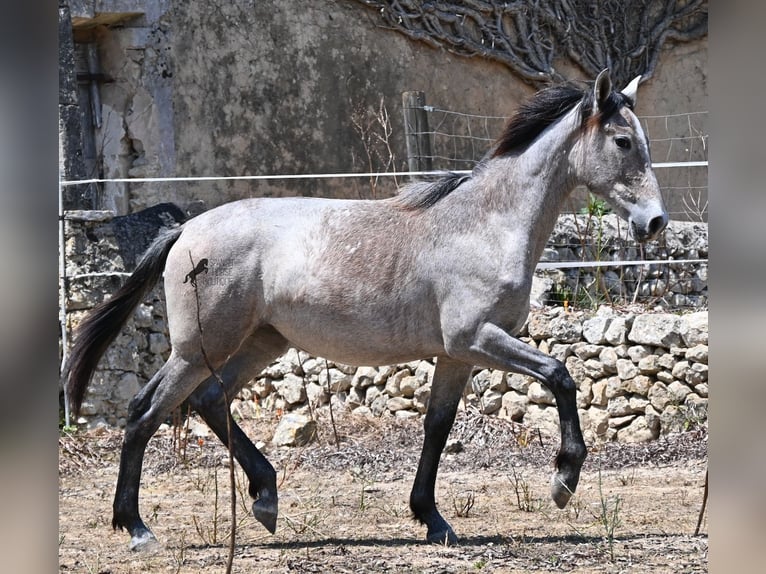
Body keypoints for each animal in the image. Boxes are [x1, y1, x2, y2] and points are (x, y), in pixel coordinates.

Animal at [63, 69, 668, 550]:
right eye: (621, 141)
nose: (655, 222)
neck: (486, 225)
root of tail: (185, 230)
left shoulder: (457, 355)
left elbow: (436, 428)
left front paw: (433, 521)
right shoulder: (477, 338)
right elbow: (560, 375)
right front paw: (563, 481)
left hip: (261, 341)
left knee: (210, 400)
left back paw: (265, 499)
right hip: (198, 347)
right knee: (145, 410)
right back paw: (138, 528)